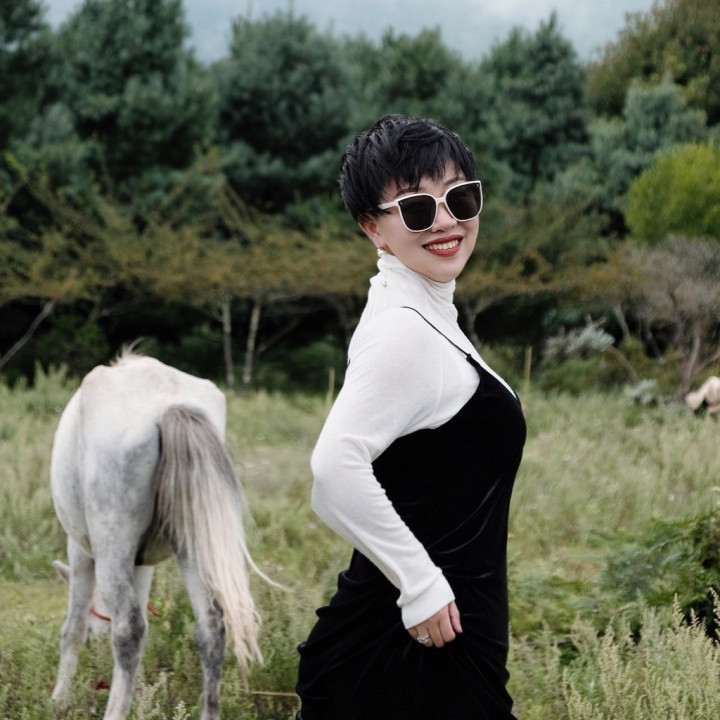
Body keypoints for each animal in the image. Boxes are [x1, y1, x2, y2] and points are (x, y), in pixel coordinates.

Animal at [50, 350, 264, 720]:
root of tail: (170, 405)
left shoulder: (81, 551)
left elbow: (73, 626)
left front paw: (59, 699)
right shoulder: (142, 563)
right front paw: (139, 696)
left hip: (111, 550)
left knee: (129, 630)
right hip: (195, 546)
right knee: (212, 627)